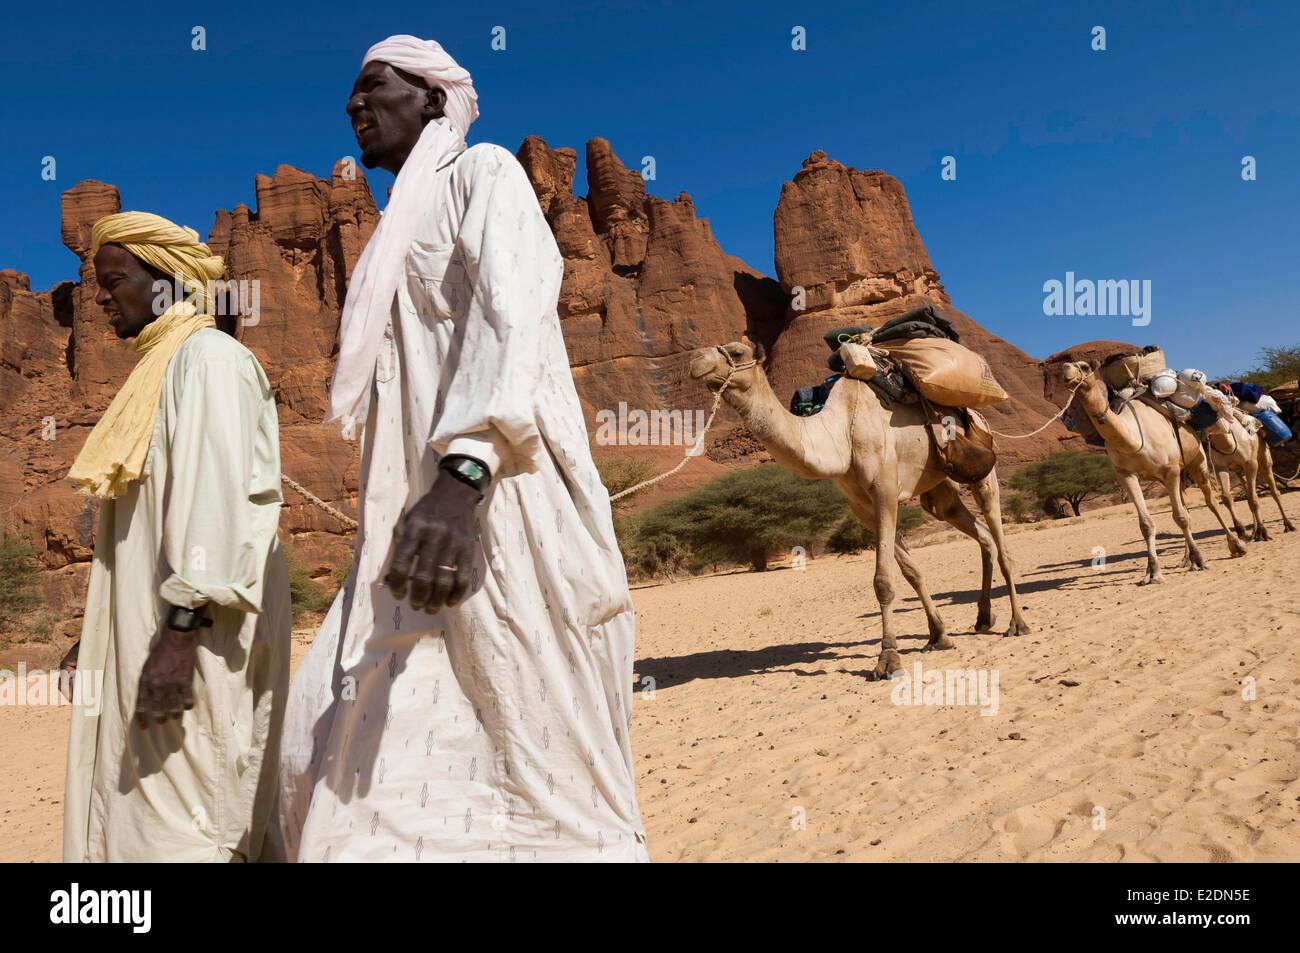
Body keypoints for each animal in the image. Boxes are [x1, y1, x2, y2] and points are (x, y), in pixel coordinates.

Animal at [686, 338, 1029, 681]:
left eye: (737, 352)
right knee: (976, 531)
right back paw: (983, 617)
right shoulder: (863, 507)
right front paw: (939, 636)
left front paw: (888, 660)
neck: (842, 431)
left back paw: (1017, 623)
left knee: (1001, 540)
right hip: (939, 488)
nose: (695, 359)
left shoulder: (885, 491)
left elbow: (883, 581)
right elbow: (911, 572)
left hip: (982, 465)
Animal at [1040, 361, 1242, 582]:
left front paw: (1200, 559)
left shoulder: (1170, 469)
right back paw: (1186, 560)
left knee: (1210, 502)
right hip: (1174, 475)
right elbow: (1146, 524)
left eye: (1084, 367)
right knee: (1187, 508)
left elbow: (1180, 517)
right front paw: (1152, 572)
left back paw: (1236, 545)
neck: (1135, 436)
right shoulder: (1126, 475)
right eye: (1063, 368)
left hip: (1197, 460)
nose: (1066, 372)